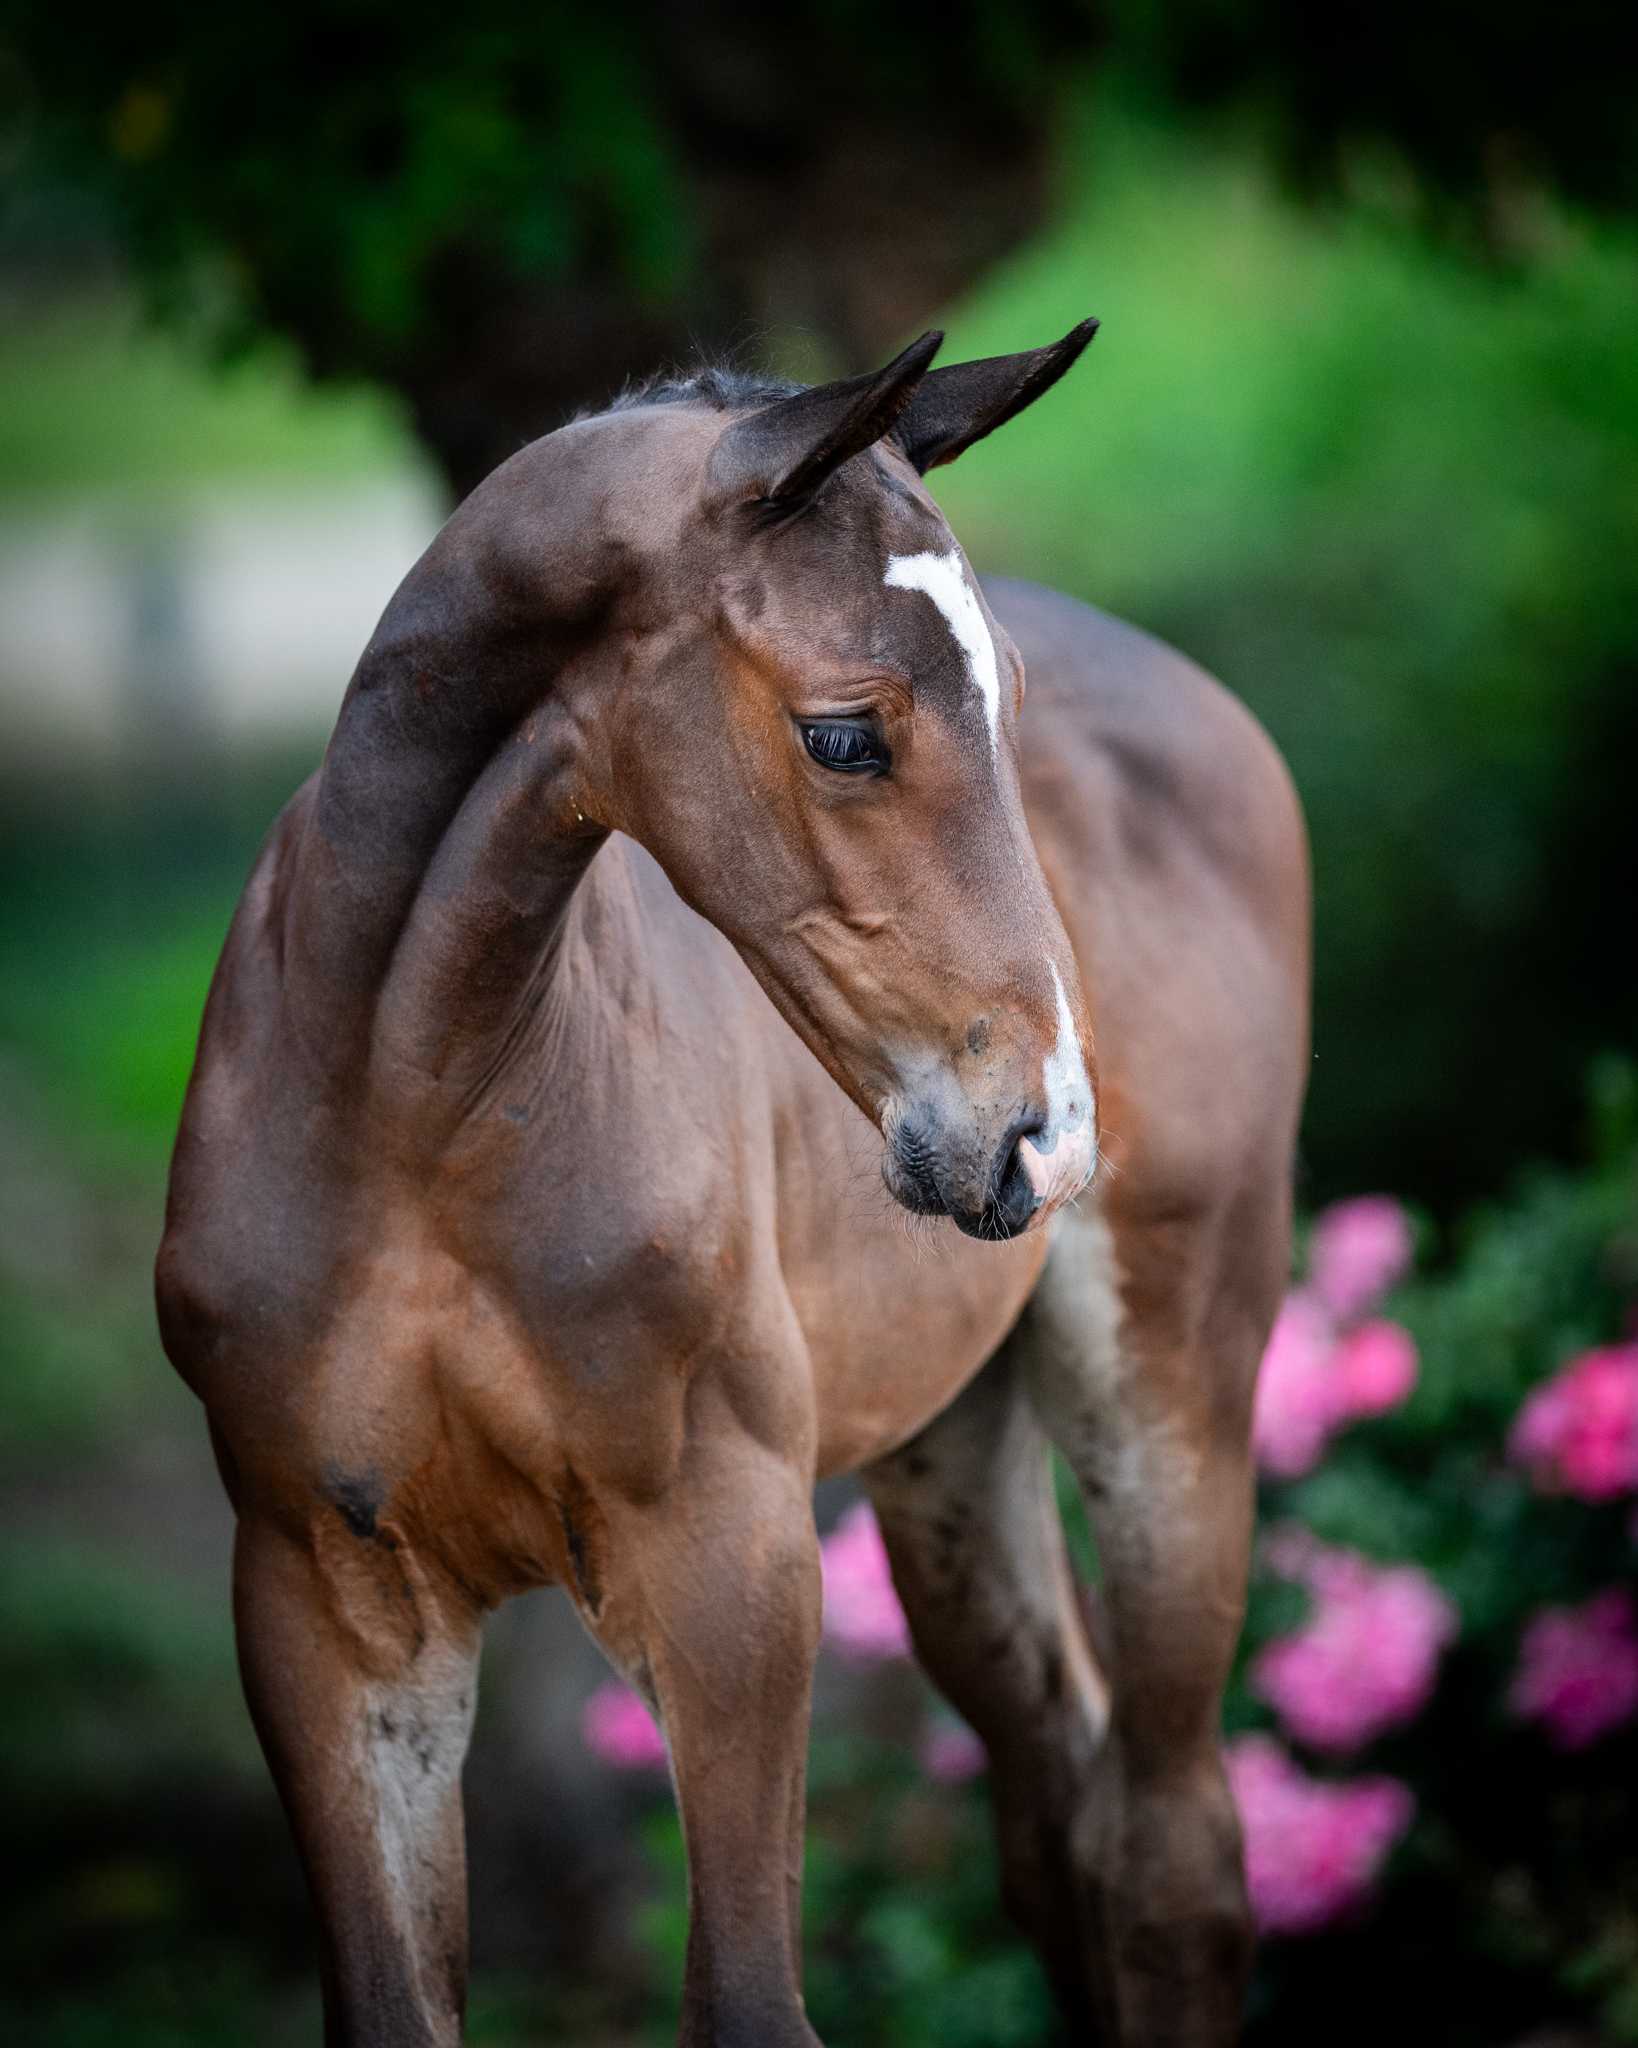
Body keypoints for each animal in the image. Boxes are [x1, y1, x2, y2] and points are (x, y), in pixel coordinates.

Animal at [156, 323, 1309, 2046]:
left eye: (1007, 699)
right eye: (843, 731)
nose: (1041, 1131)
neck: (407, 1110)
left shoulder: (729, 1561)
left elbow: (753, 2000)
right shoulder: (321, 1601)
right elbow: (389, 2001)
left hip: (1168, 1388)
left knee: (1171, 1854)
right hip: (949, 1459)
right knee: (1060, 1810)